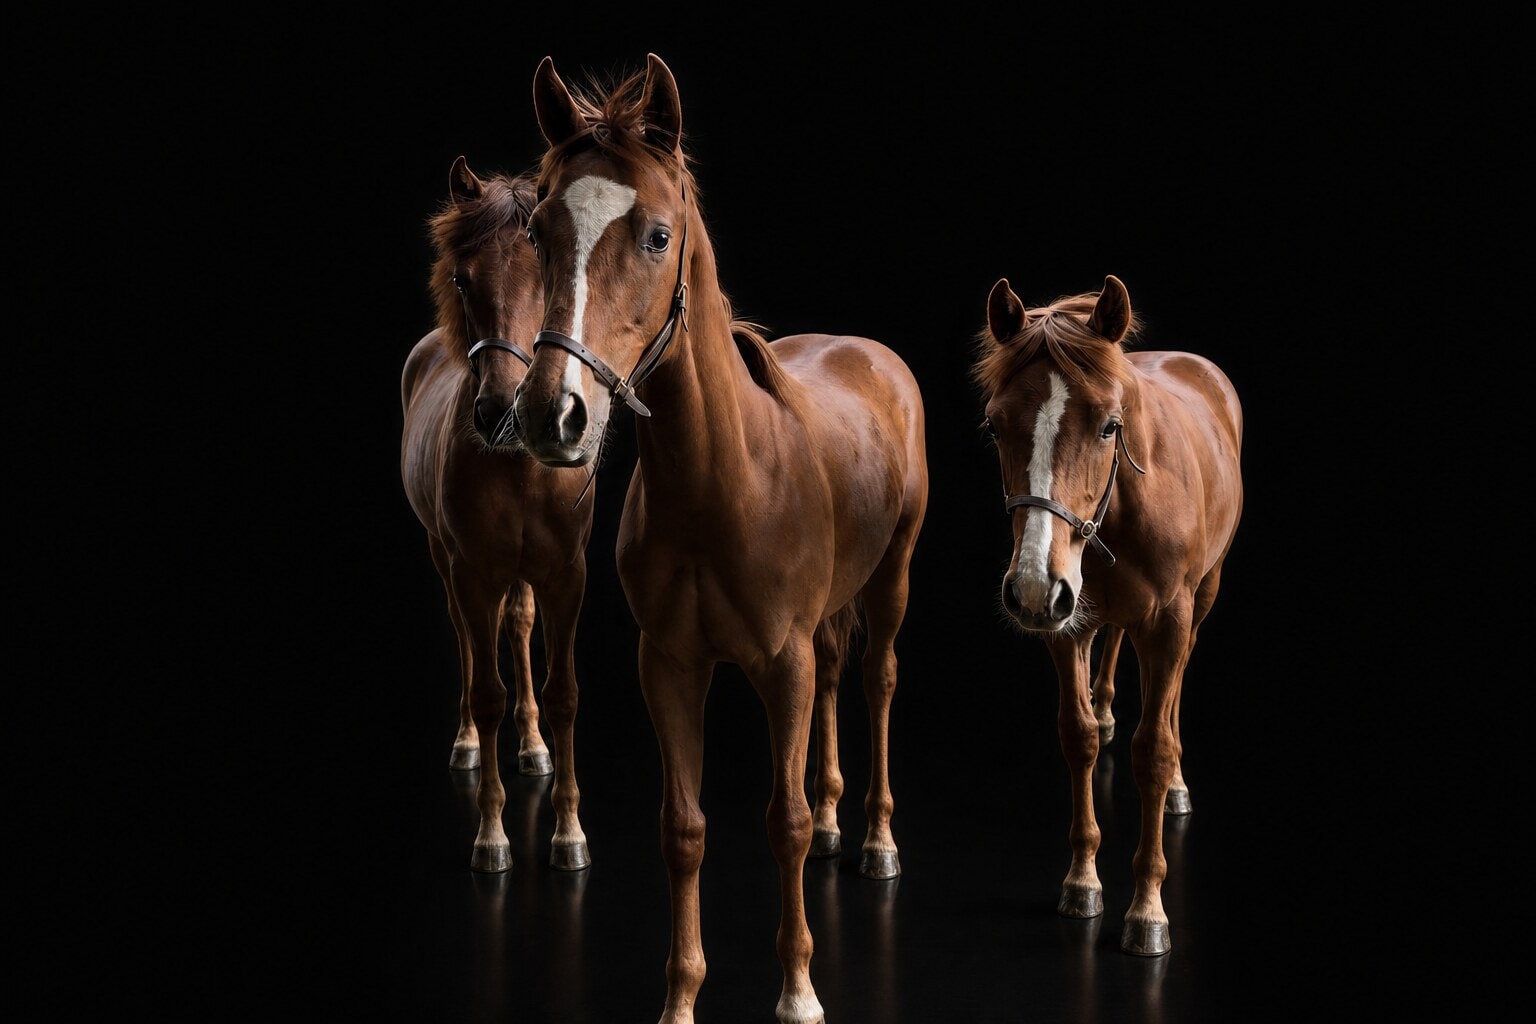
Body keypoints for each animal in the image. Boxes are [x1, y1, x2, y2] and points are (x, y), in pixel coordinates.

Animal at [399, 156, 595, 874]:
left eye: (548, 270)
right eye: (461, 277)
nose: (499, 412)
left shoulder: (567, 575)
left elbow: (565, 694)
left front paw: (568, 832)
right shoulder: (473, 572)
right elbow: (486, 691)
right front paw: (491, 837)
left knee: (518, 625)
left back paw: (533, 747)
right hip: (445, 559)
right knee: (466, 639)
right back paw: (467, 744)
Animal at [510, 54, 929, 1024]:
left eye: (658, 236)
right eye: (540, 230)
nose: (554, 414)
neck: (722, 487)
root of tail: (870, 351)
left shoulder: (780, 664)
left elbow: (783, 822)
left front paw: (800, 991)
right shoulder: (669, 663)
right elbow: (686, 828)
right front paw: (681, 995)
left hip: (891, 578)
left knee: (878, 681)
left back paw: (877, 840)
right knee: (839, 680)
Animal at [973, 274, 1243, 956]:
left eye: (1109, 426)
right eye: (995, 426)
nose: (1032, 586)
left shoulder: (1169, 624)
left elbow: (1153, 750)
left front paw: (1147, 907)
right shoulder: (1064, 627)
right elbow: (1078, 738)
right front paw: (1081, 878)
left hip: (1203, 596)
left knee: (1175, 690)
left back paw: (1177, 784)